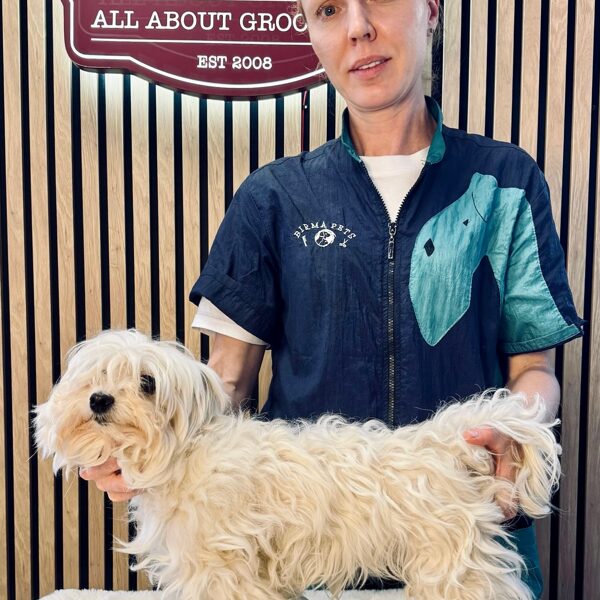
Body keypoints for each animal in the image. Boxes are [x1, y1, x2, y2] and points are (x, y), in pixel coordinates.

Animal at [35, 329, 560, 600]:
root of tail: (441, 439)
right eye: (95, 378)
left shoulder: (220, 566)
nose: (99, 400)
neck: (185, 452)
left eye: (147, 383)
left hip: (451, 566)